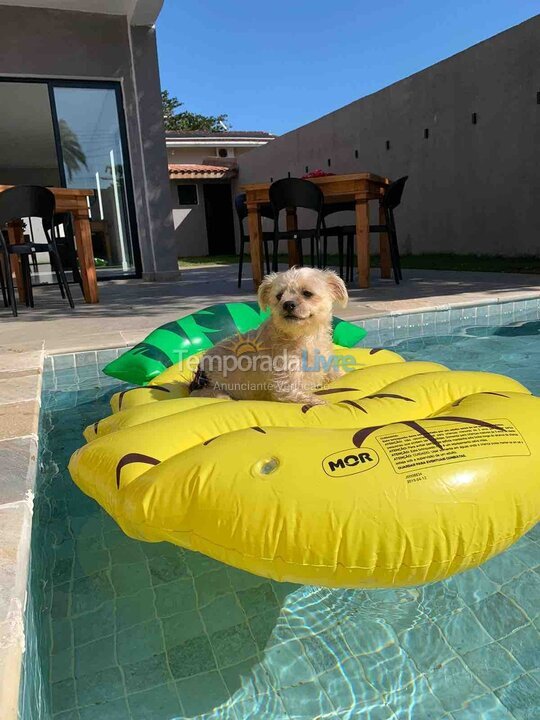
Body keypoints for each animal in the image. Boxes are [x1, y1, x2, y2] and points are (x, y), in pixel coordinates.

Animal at [190, 268, 350, 408]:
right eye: (279, 296)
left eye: (307, 293)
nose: (288, 304)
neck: (304, 336)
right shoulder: (286, 387)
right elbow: (318, 401)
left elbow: (337, 374)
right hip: (212, 391)